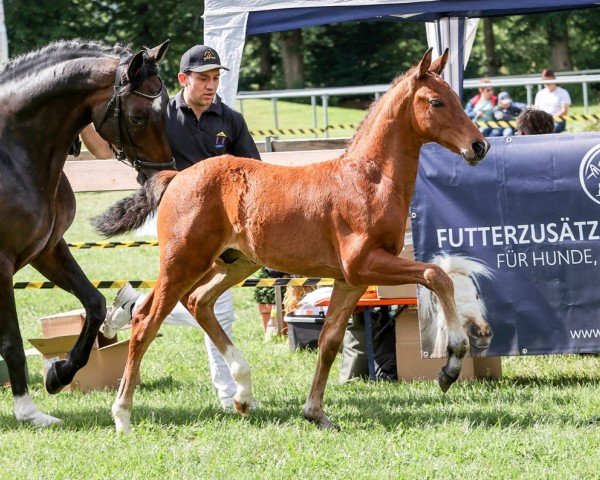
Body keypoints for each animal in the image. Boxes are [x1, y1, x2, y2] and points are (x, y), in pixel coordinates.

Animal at [1, 39, 176, 426]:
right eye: (138, 117)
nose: (163, 173)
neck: (13, 151)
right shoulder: (1, 265)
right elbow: (12, 342)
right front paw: (28, 412)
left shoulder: (48, 249)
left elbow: (94, 304)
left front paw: (59, 373)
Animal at [92, 48, 488, 432]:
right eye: (436, 102)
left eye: (457, 97)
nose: (479, 146)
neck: (368, 181)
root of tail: (176, 177)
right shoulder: (364, 264)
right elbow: (437, 275)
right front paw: (451, 364)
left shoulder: (351, 279)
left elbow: (329, 342)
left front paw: (315, 413)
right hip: (183, 262)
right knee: (146, 320)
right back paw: (123, 415)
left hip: (233, 264)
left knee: (198, 302)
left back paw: (242, 394)